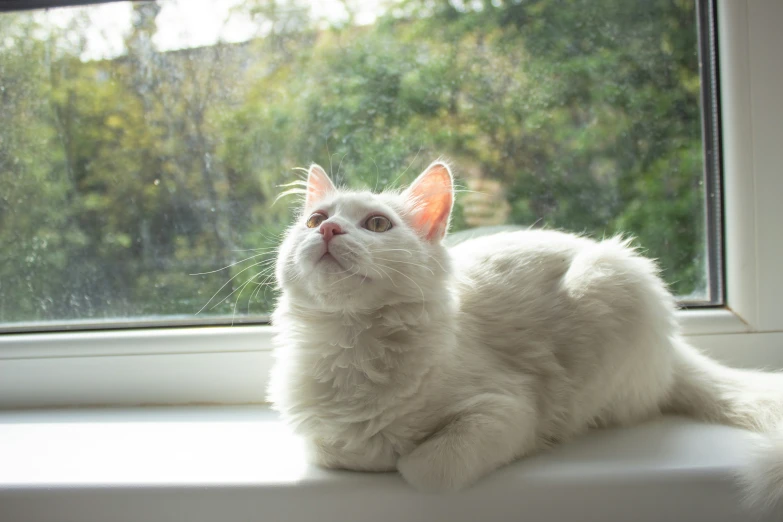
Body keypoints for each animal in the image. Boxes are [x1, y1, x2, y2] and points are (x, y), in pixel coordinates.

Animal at [268, 160, 783, 510]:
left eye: (376, 224)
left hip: (609, 286)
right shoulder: (319, 438)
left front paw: (395, 457)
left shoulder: (508, 409)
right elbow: (335, 450)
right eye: (315, 221)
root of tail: (674, 347)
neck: (351, 342)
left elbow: (424, 468)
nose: (330, 231)